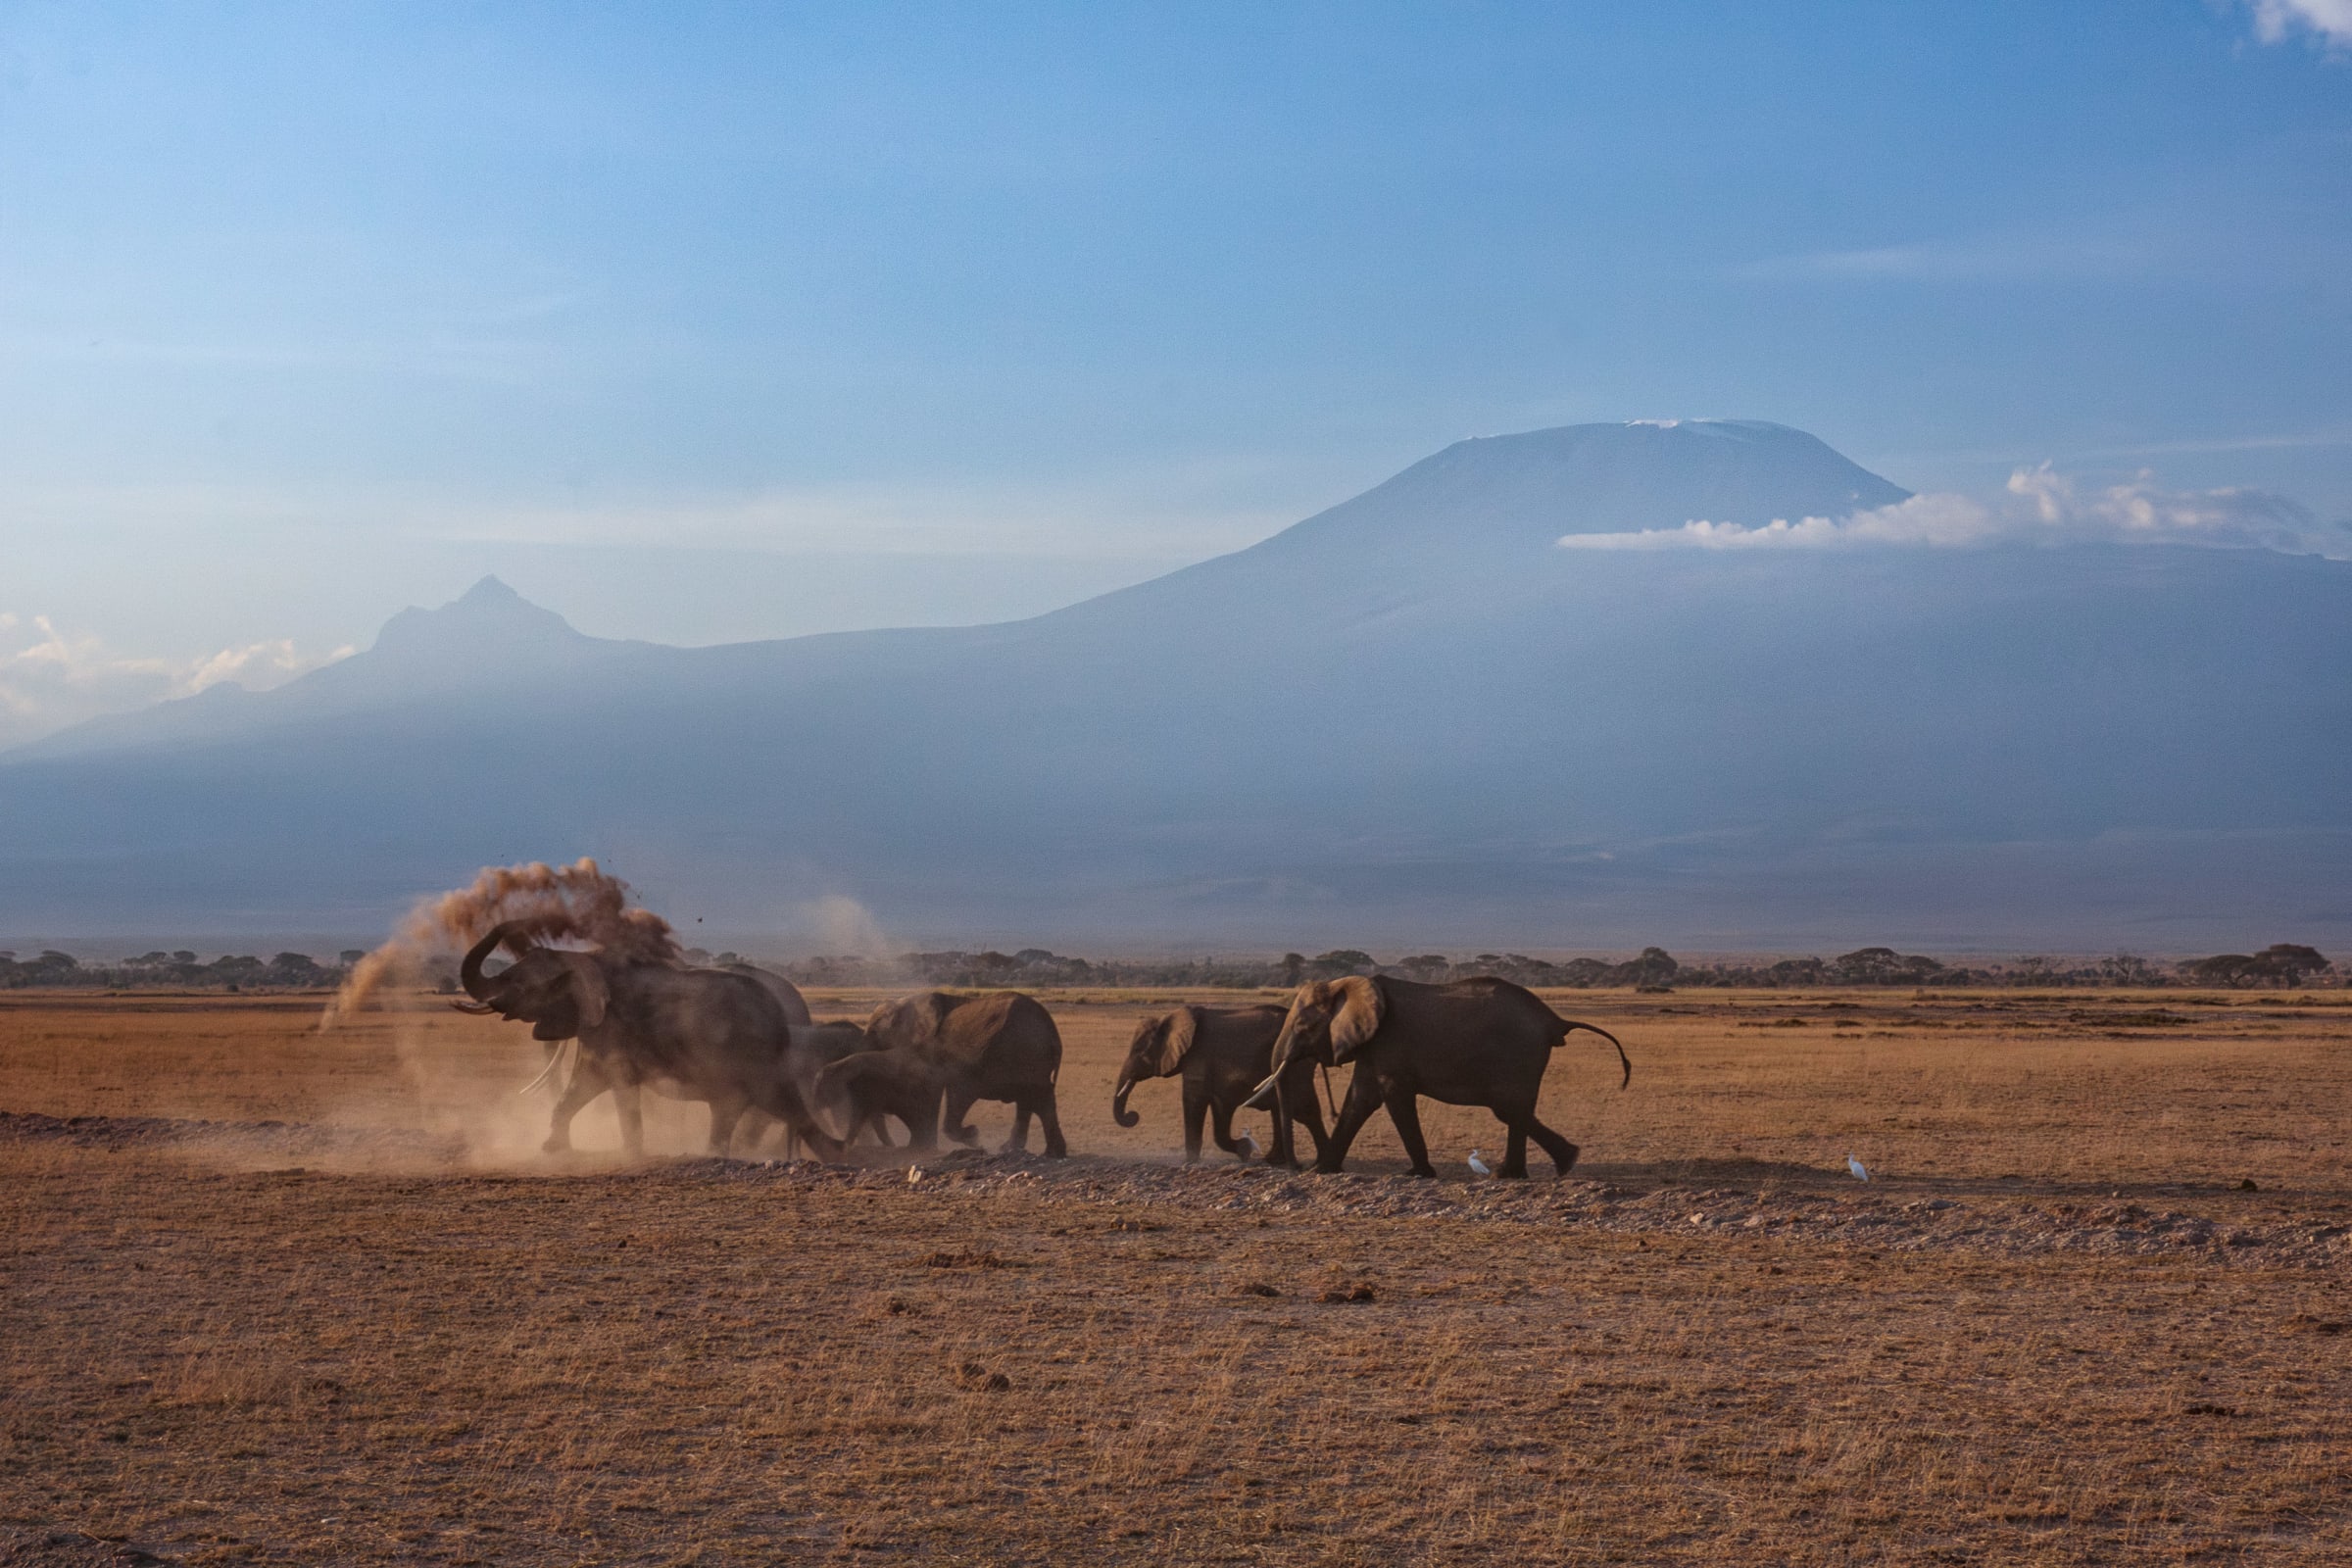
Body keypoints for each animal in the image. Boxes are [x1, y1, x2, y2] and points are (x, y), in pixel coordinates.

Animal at [457, 923, 837, 1158]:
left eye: (519, 983)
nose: (516, 924)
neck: (585, 959)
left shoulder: (615, 1030)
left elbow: (619, 1087)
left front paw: (631, 1153)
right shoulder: (596, 1030)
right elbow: (581, 1086)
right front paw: (553, 1150)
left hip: (752, 1061)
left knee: (752, 1107)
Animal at [859, 990, 1068, 1158]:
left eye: (874, 1033)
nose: (892, 1146)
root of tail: (1053, 1034)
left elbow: (939, 1089)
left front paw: (973, 1138)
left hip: (1026, 1054)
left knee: (1035, 1099)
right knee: (1034, 1100)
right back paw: (1035, 1151)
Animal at [1111, 1003, 1331, 1166]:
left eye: (1138, 1050)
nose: (1133, 1115)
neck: (1168, 1019)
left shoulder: (1199, 1055)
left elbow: (1194, 1100)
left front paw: (1190, 1162)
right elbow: (1220, 1109)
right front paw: (1244, 1151)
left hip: (1298, 1065)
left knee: (1303, 1110)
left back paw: (1318, 1163)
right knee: (1286, 1109)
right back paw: (1279, 1161)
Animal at [1245, 975, 1629, 1179]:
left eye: (1303, 1026)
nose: (1297, 1166)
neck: (1347, 984)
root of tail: (1554, 1020)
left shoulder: (1389, 1042)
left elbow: (1392, 1096)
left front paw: (1417, 1174)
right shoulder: (1373, 1046)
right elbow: (1359, 1100)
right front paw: (1321, 1171)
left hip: (1518, 1055)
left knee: (1509, 1108)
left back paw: (1553, 1165)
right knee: (1515, 1110)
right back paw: (1532, 1169)